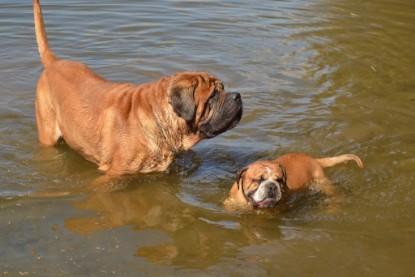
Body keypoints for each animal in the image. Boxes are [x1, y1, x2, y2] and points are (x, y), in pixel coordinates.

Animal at [35, 0, 244, 175]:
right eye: (213, 96)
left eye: (223, 89)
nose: (238, 96)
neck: (158, 117)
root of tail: (54, 62)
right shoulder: (111, 174)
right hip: (47, 131)